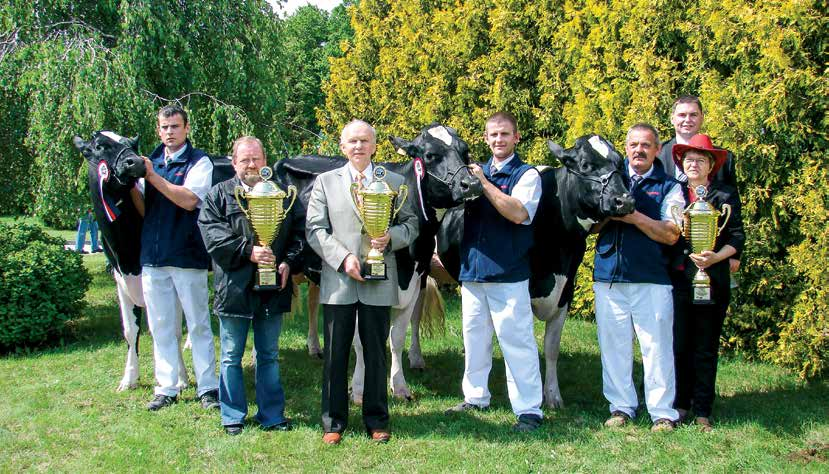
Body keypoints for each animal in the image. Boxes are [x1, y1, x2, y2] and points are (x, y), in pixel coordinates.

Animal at [430, 133, 632, 408]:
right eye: (586, 165)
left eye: (620, 163)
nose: (625, 200)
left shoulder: (565, 290)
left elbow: (551, 347)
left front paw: (553, 396)